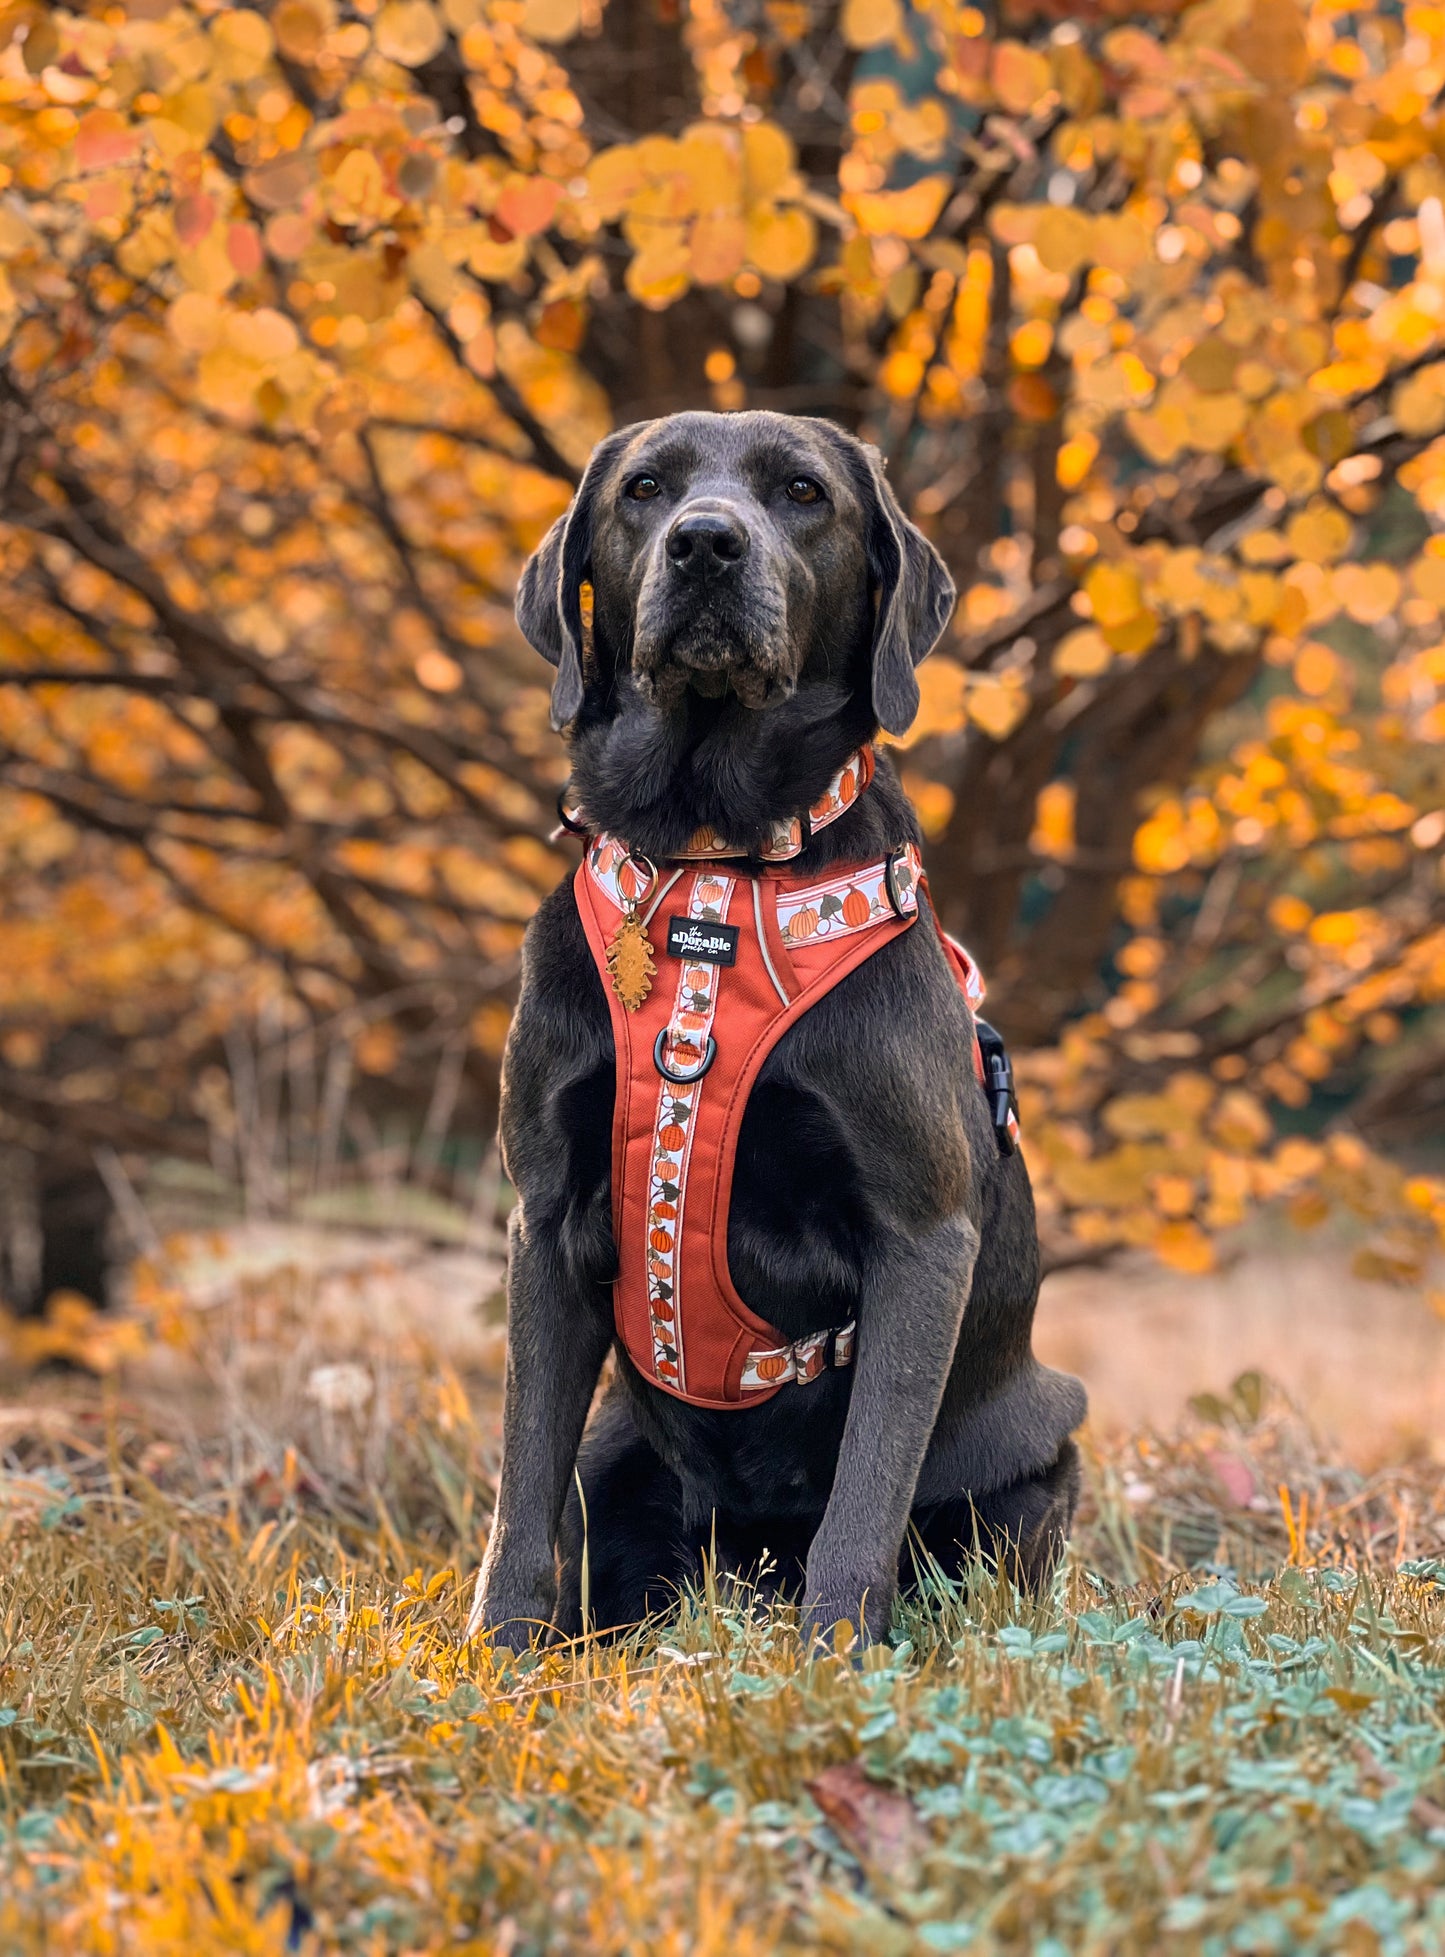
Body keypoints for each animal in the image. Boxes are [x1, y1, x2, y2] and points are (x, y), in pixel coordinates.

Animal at [469, 412, 1080, 1651]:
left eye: (801, 492)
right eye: (644, 488)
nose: (705, 544)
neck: (712, 865)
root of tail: (743, 1562)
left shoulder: (919, 1236)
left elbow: (865, 1492)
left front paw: (833, 1659)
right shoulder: (543, 1214)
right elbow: (521, 1479)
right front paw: (496, 1657)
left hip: (1039, 1457)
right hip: (621, 1450)